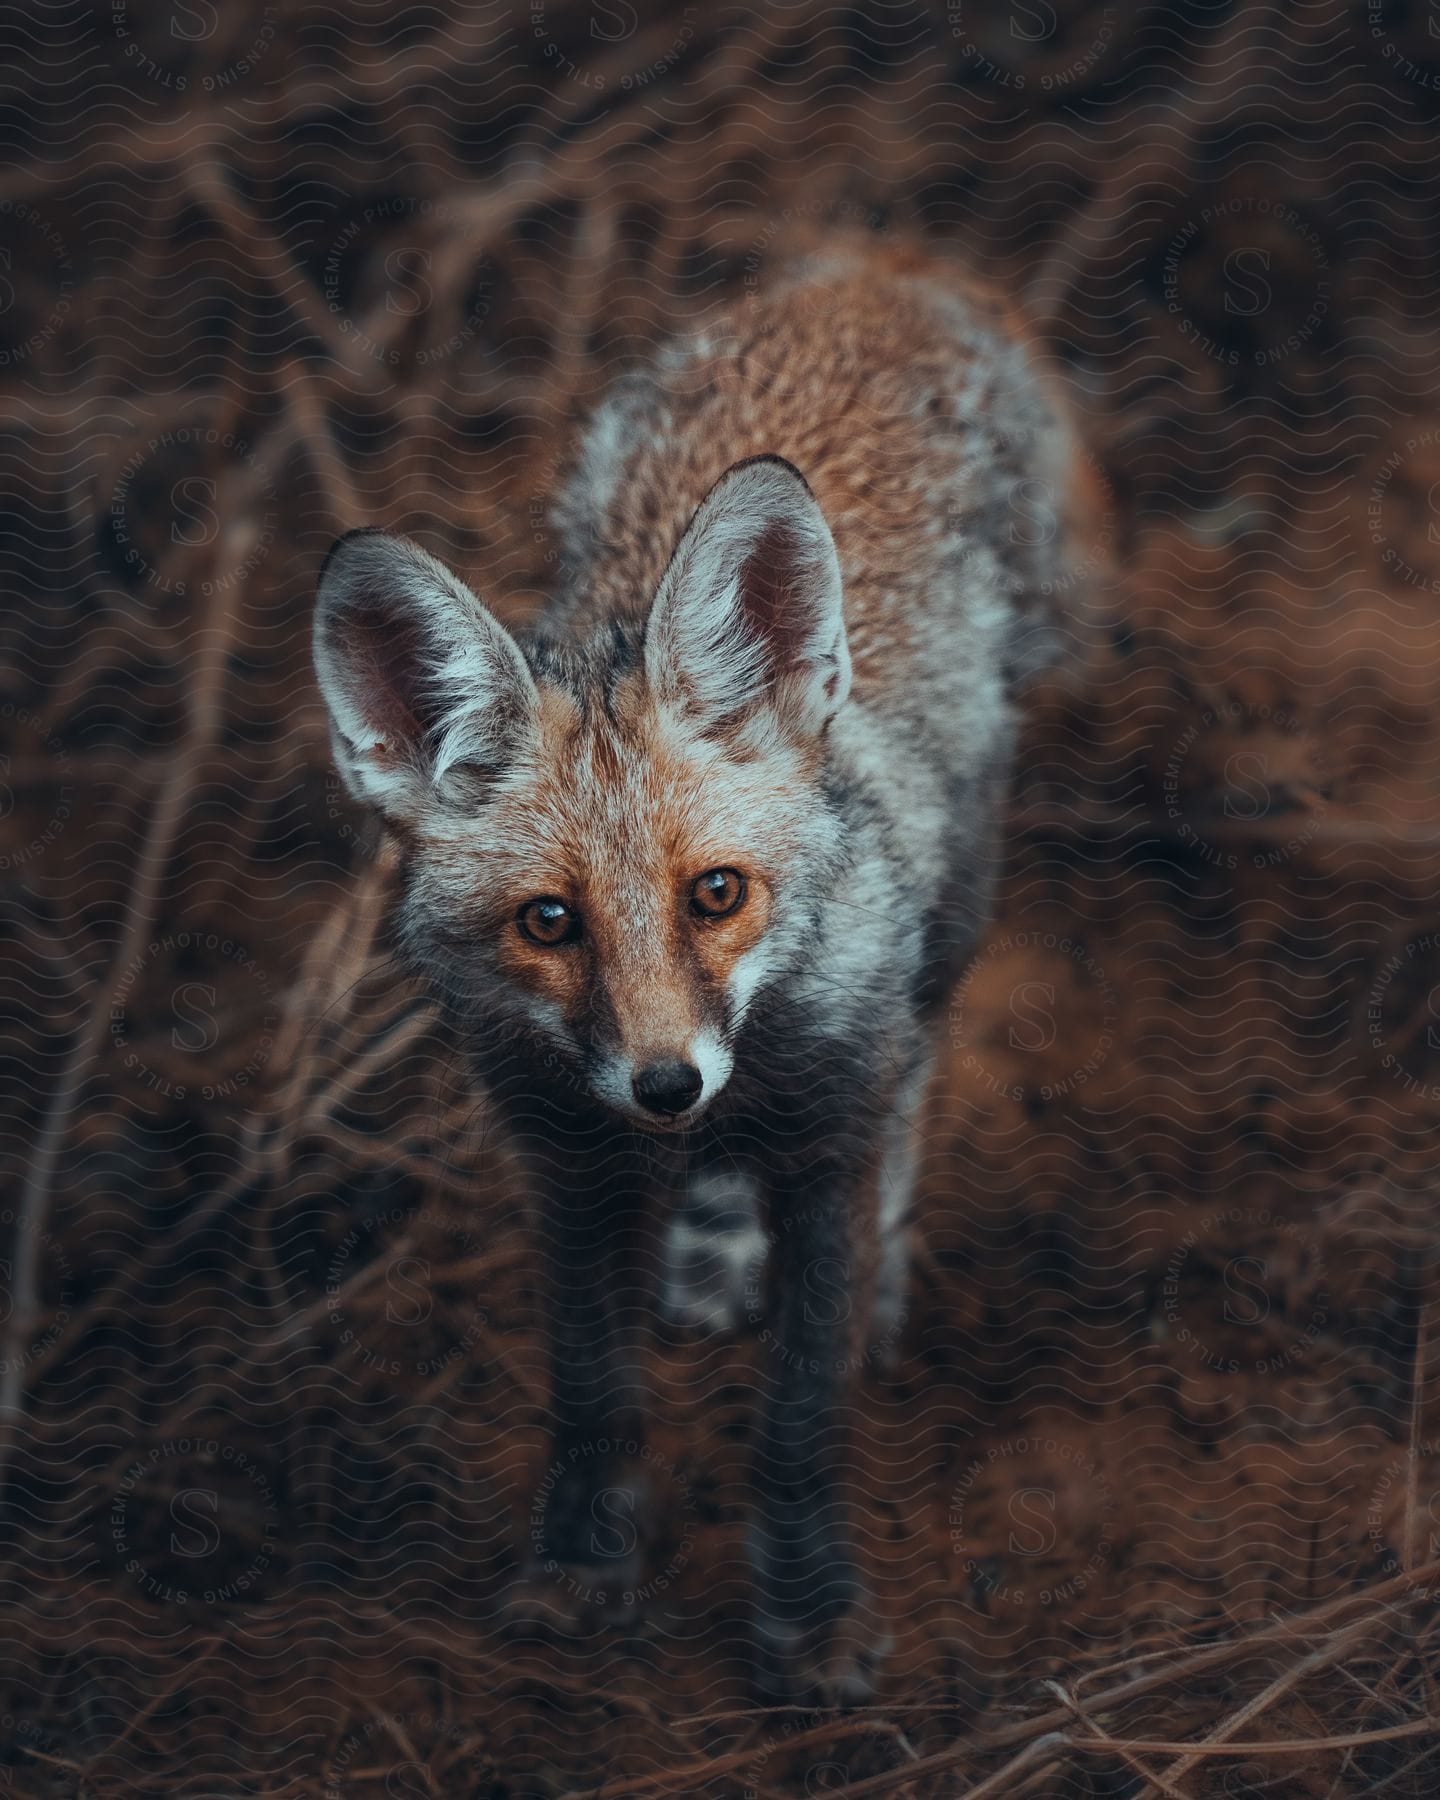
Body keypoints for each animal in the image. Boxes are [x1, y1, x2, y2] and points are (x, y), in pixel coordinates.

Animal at [311, 239, 1094, 1699]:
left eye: (716, 895)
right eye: (548, 923)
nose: (666, 1086)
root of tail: (875, 265)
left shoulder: (830, 1140)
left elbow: (799, 1414)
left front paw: (809, 1617)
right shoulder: (567, 1168)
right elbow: (593, 1397)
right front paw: (581, 1571)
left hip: (956, 906)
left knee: (919, 1072)